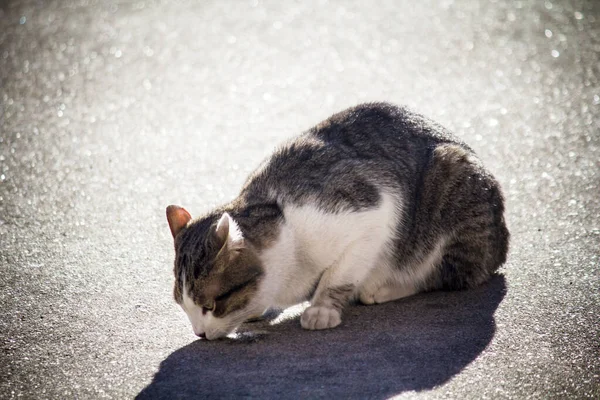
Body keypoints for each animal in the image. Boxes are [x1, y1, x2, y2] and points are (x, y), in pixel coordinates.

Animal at [166, 101, 508, 340]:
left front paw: (321, 308)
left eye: (211, 305)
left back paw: (384, 288)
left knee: (447, 274)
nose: (199, 333)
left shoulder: (373, 213)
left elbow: (339, 274)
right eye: (183, 305)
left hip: (451, 182)